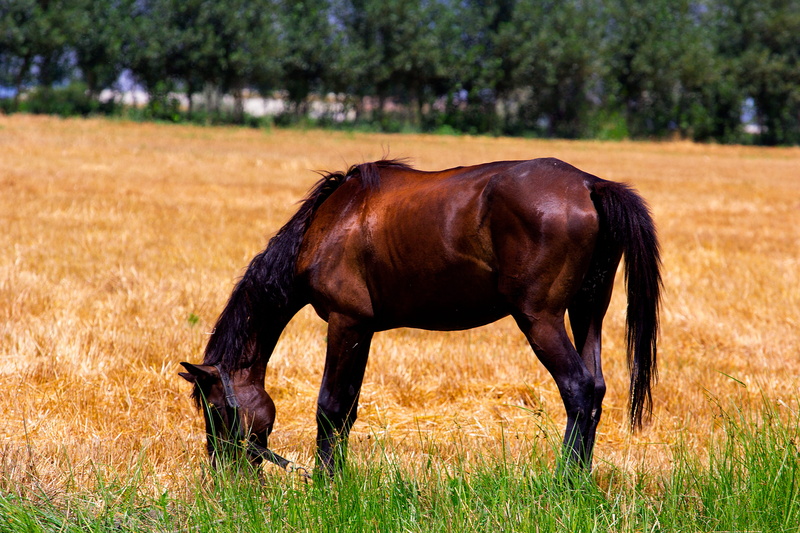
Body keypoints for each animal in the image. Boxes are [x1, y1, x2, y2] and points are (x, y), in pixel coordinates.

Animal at [179, 157, 661, 476]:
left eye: (216, 410)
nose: (225, 476)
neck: (329, 223)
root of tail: (590, 184)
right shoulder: (364, 329)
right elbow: (348, 409)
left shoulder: (344, 322)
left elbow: (329, 407)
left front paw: (325, 484)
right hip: (587, 313)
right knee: (595, 388)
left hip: (540, 318)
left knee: (578, 389)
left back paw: (564, 482)